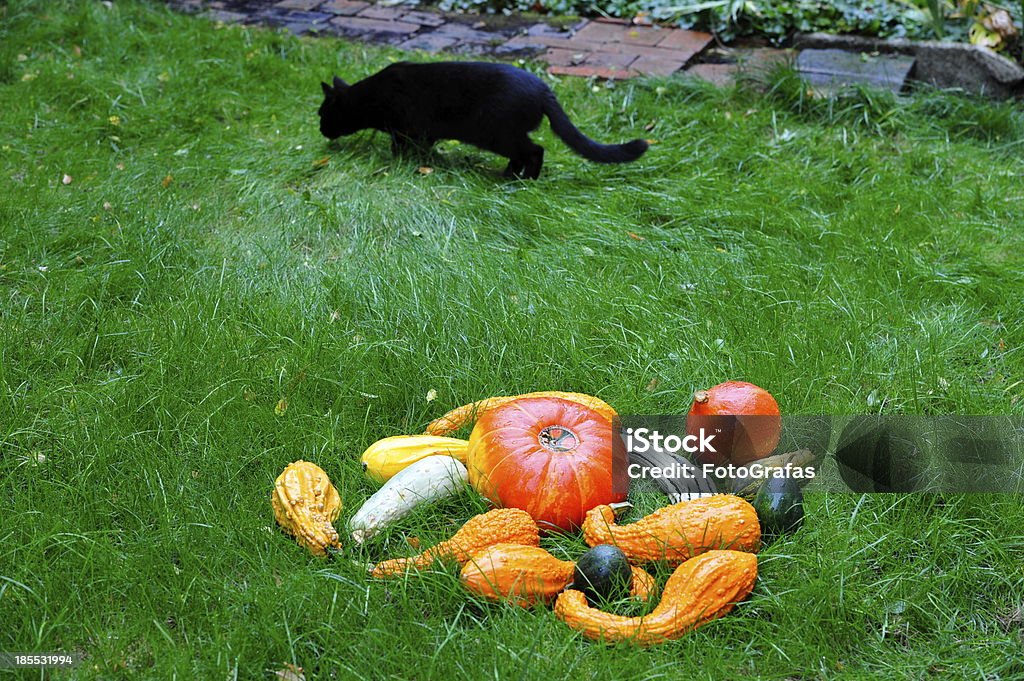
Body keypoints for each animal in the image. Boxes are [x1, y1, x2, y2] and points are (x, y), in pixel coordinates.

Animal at [317, 61, 647, 178]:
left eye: (322, 114)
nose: (320, 128)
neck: (372, 97)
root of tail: (544, 90)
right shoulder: (424, 132)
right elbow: (424, 147)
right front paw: (424, 160)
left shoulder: (406, 129)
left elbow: (400, 147)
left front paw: (401, 161)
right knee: (523, 153)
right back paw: (509, 175)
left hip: (496, 134)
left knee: (535, 151)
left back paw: (522, 180)